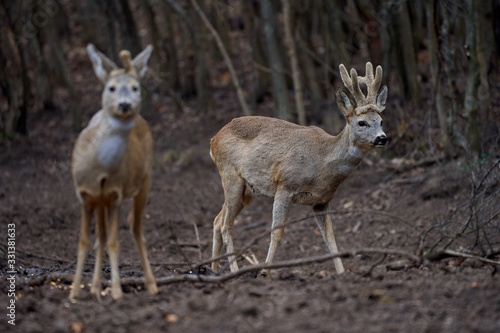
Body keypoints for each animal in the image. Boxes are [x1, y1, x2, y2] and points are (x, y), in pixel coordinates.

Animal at [69, 42, 157, 300]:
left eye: (135, 87)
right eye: (111, 87)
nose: (125, 104)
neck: (100, 170)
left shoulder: (116, 195)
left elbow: (114, 242)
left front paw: (117, 291)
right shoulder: (84, 196)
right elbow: (85, 242)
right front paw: (74, 293)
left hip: (145, 181)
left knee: (135, 227)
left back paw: (151, 284)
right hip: (101, 202)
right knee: (101, 236)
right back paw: (95, 286)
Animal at [209, 62, 388, 274]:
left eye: (381, 121)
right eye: (362, 122)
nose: (382, 138)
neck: (322, 164)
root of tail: (213, 140)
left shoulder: (322, 201)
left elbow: (330, 239)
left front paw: (342, 273)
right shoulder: (285, 185)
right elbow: (277, 232)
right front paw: (264, 271)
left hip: (247, 191)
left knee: (217, 220)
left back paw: (213, 270)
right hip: (231, 177)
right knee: (225, 225)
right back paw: (235, 271)